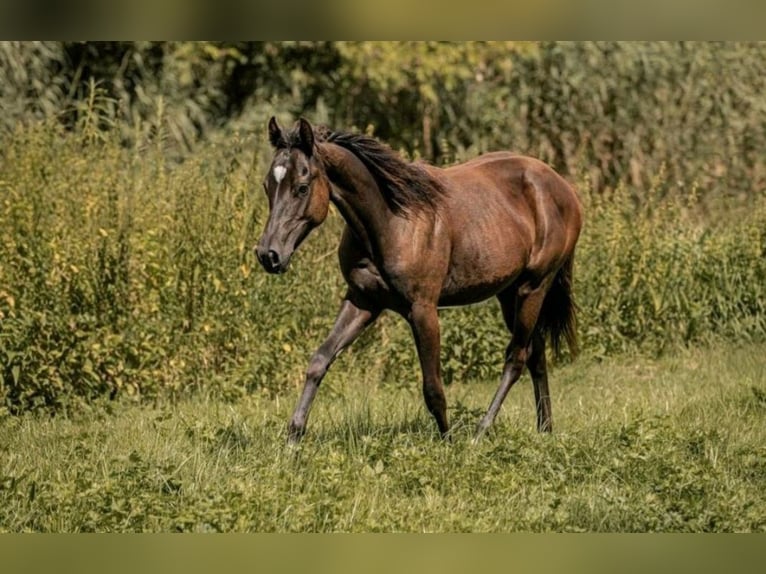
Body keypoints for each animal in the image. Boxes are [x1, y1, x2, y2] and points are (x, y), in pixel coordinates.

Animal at [255, 117, 584, 446]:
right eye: (267, 185)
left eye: (301, 187)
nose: (268, 255)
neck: (391, 221)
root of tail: (562, 187)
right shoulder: (363, 301)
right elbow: (319, 361)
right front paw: (293, 438)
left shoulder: (423, 310)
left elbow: (433, 388)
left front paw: (448, 443)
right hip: (509, 294)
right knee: (536, 355)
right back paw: (544, 429)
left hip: (534, 287)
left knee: (517, 357)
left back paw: (480, 432)